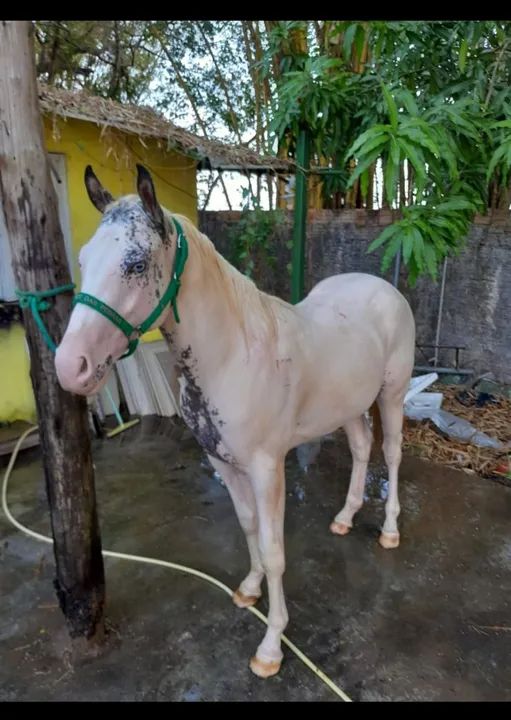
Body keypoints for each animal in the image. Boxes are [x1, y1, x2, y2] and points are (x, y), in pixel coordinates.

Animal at [55, 164, 416, 679]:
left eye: (136, 264)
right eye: (84, 259)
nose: (70, 367)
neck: (234, 355)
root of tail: (384, 289)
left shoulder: (268, 469)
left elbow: (274, 549)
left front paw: (271, 647)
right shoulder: (222, 462)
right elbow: (248, 528)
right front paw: (248, 589)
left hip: (392, 395)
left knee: (391, 453)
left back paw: (389, 531)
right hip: (347, 406)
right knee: (363, 448)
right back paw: (345, 519)